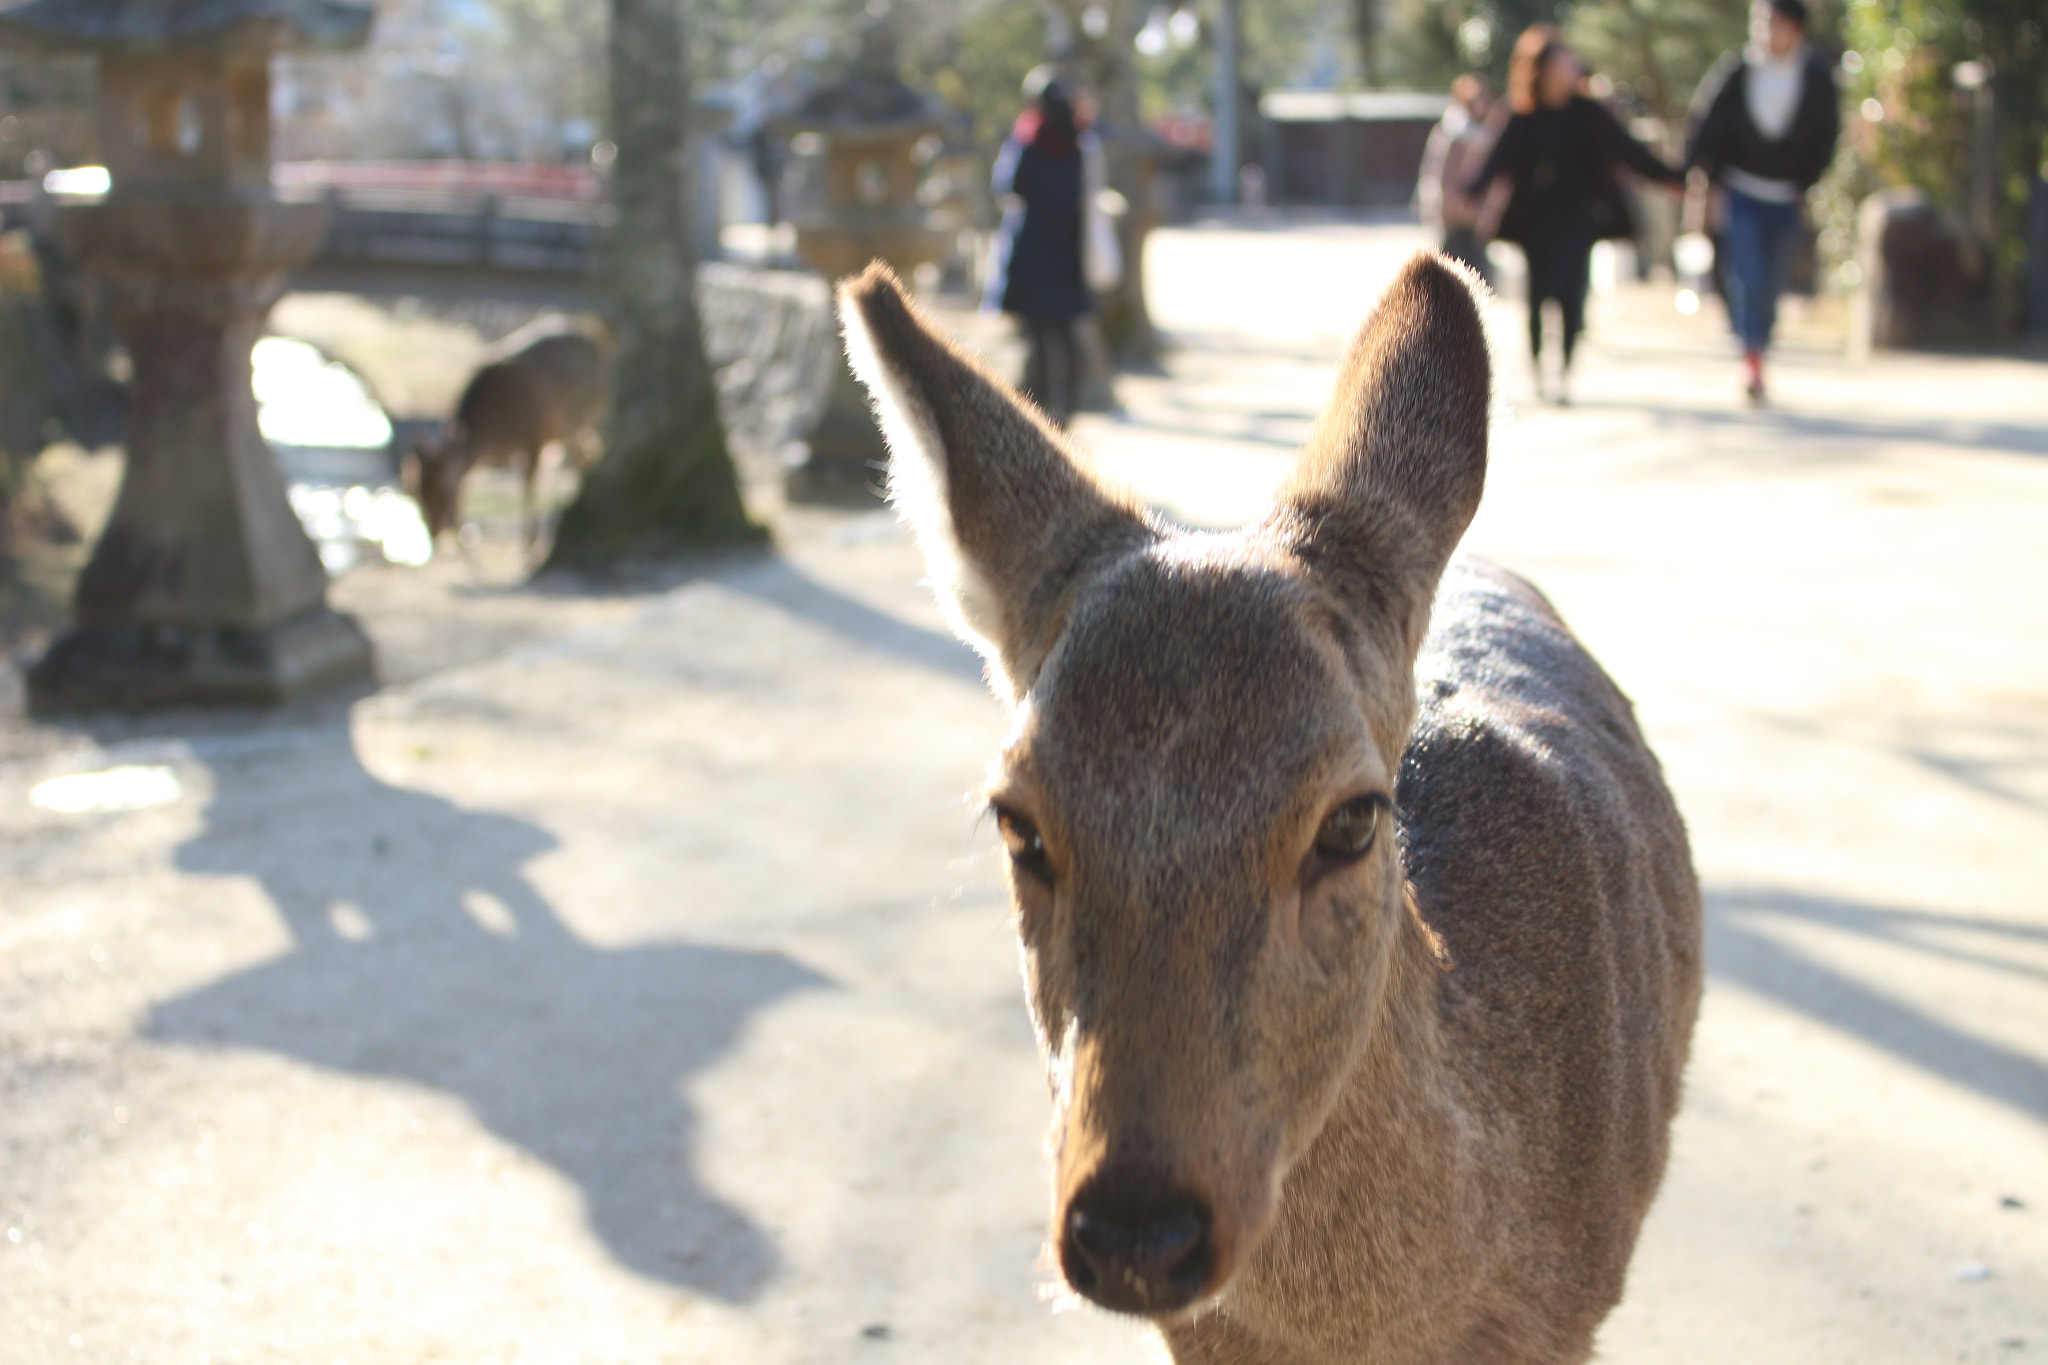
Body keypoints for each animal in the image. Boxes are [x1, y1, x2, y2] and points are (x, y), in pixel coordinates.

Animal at [401, 315, 612, 556]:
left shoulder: (536, 436)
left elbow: (529, 486)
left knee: (591, 452)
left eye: (444, 491)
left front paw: (529, 542)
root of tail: (598, 342)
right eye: (415, 492)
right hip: (570, 431)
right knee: (584, 456)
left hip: (590, 415)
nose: (434, 532)